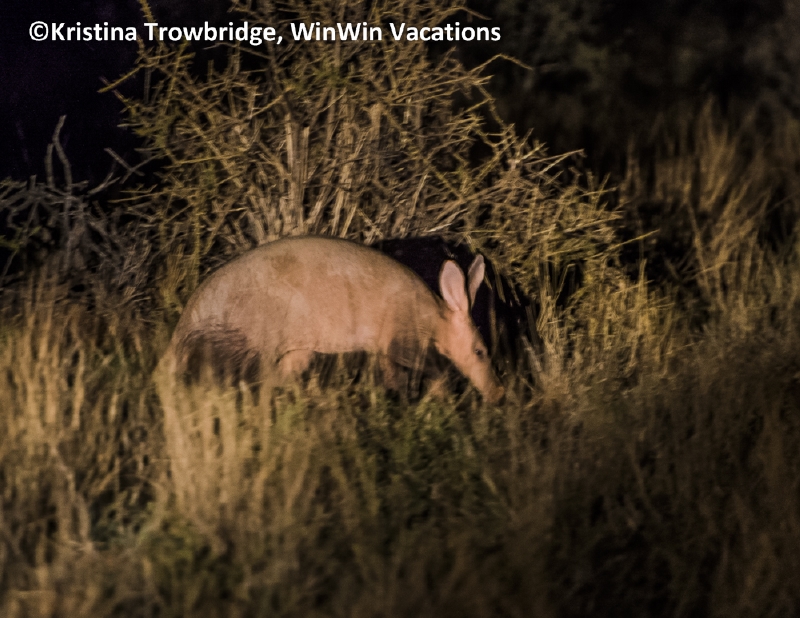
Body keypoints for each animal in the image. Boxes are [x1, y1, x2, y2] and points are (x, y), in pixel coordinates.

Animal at [156, 236, 504, 403]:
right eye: (480, 351)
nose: (497, 394)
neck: (432, 315)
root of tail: (180, 331)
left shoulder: (385, 348)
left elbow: (391, 374)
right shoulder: (402, 337)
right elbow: (427, 367)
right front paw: (441, 395)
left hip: (297, 352)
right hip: (245, 340)